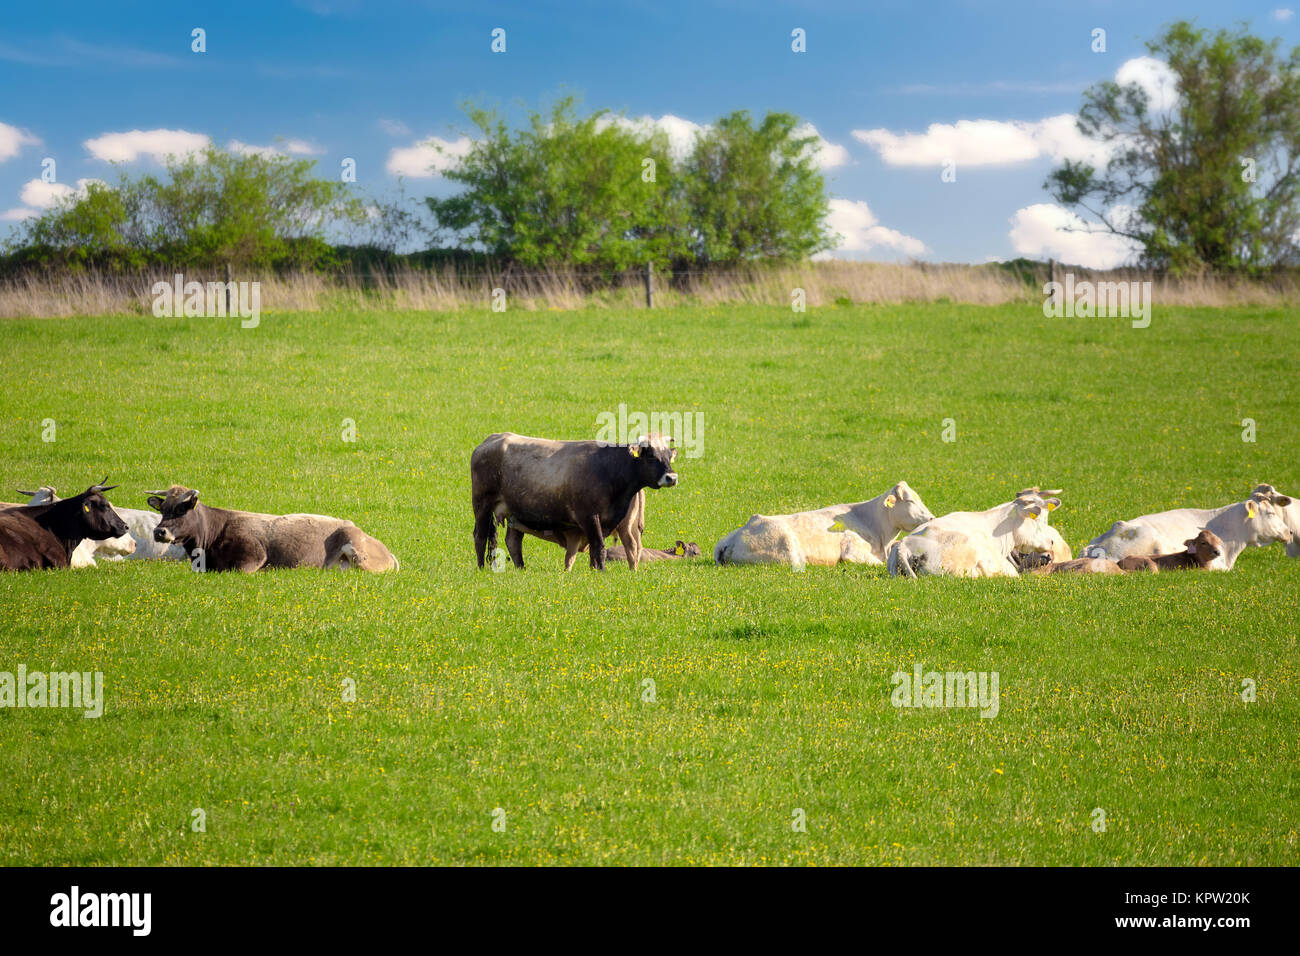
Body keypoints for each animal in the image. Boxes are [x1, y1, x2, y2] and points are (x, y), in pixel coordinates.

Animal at [470, 432, 679, 571]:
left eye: (669, 455)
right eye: (651, 455)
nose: (672, 477)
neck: (611, 468)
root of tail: (492, 439)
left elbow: (595, 549)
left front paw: (594, 571)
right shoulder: (589, 516)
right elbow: (599, 548)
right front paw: (601, 572)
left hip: (515, 510)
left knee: (513, 541)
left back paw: (521, 568)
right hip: (482, 505)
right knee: (480, 536)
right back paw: (481, 568)